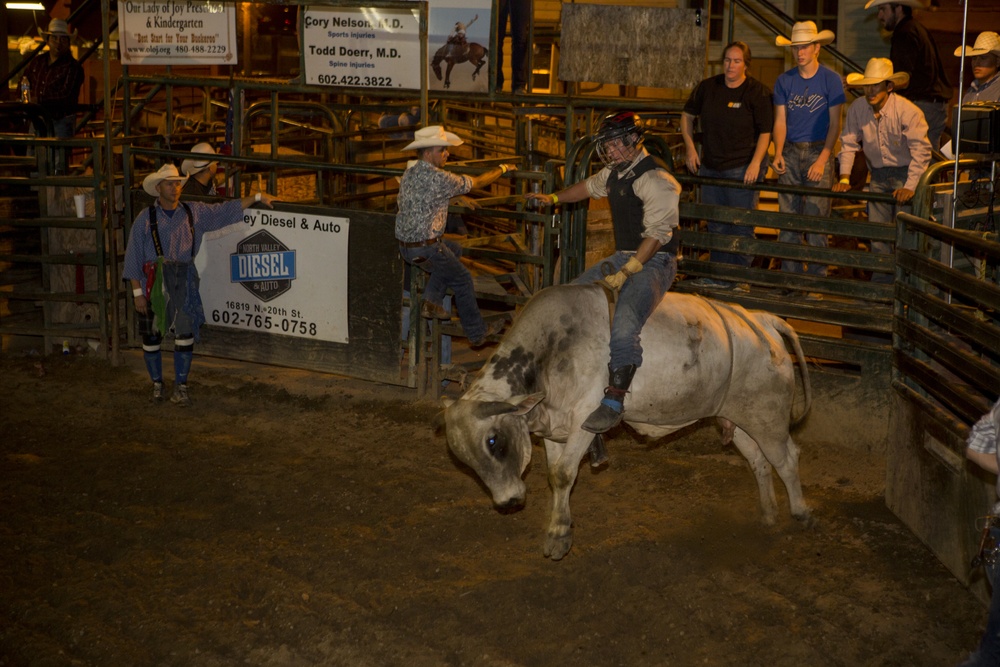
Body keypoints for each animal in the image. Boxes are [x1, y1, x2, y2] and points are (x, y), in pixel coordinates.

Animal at [446, 284, 812, 560]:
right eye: (464, 460)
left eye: (494, 441)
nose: (508, 502)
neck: (554, 347)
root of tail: (761, 320)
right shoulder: (554, 425)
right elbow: (554, 474)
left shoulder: (585, 417)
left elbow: (563, 474)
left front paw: (558, 538)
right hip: (740, 418)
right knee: (759, 461)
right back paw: (768, 514)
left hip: (769, 417)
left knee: (787, 458)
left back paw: (801, 512)